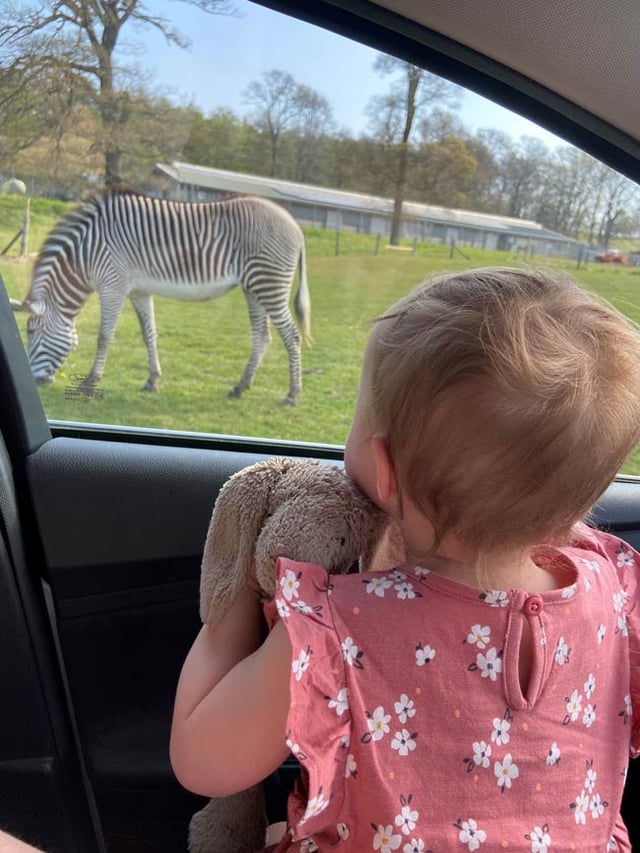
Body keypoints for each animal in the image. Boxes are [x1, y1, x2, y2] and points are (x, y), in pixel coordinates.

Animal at [12, 189, 311, 405]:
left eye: (31, 331)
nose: (36, 383)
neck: (87, 251)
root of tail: (296, 226)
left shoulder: (113, 286)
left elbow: (104, 336)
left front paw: (89, 383)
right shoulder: (139, 290)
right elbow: (149, 334)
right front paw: (152, 381)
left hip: (269, 284)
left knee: (292, 336)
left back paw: (293, 394)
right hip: (253, 288)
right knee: (262, 337)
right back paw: (240, 387)